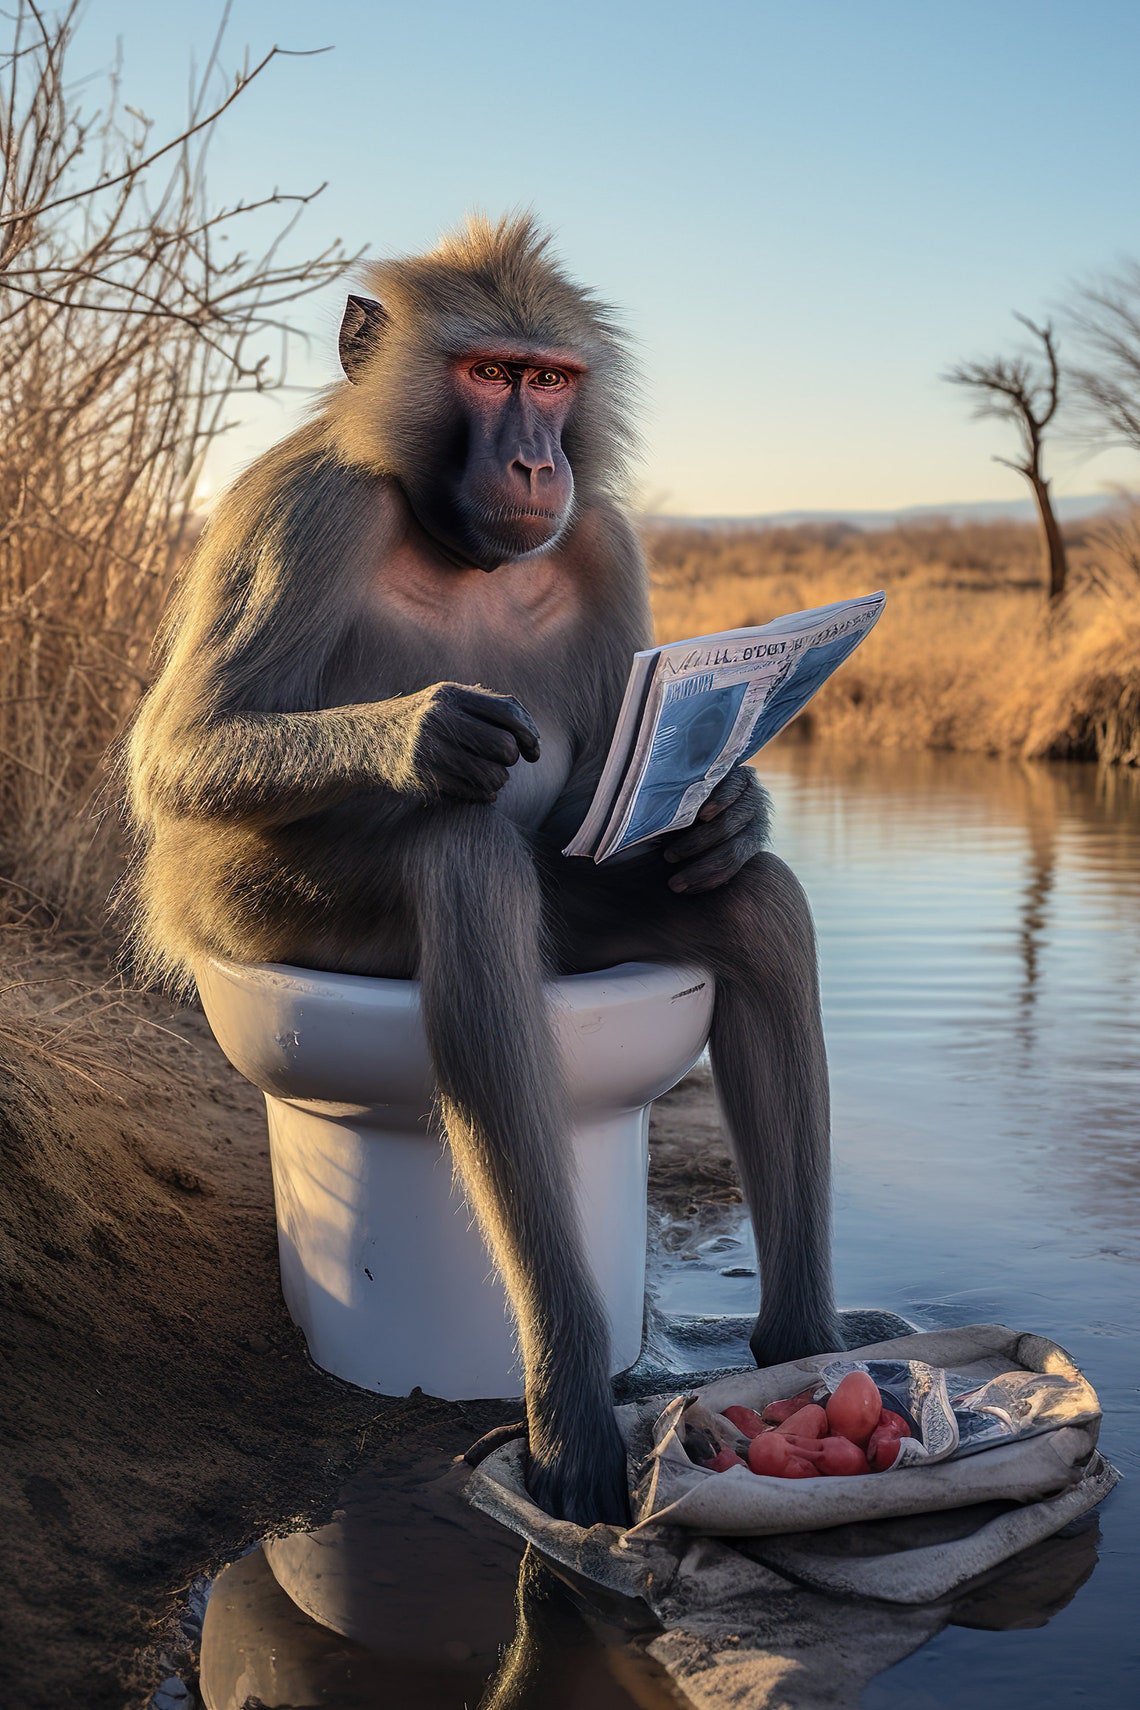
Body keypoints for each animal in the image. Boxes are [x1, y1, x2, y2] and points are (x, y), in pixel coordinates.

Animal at [125, 214, 841, 1527]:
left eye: (550, 381)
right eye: (491, 373)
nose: (533, 465)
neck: (448, 539)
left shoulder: (604, 536)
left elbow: (622, 786)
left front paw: (724, 805)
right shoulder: (308, 511)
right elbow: (181, 750)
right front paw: (425, 737)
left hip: (583, 920)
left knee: (747, 908)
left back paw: (806, 1352)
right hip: (254, 917)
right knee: (461, 869)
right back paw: (570, 1405)